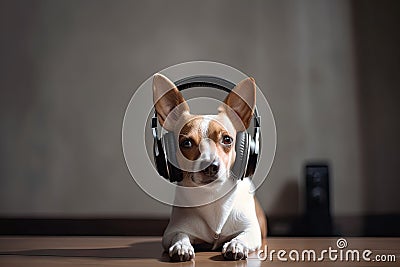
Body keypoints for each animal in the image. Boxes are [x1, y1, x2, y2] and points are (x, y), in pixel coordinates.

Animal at [152, 74, 268, 262]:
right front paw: (182, 246)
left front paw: (237, 244)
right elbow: (179, 235)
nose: (211, 166)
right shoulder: (172, 231)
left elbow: (242, 236)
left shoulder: (251, 230)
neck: (213, 196)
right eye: (186, 143)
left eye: (227, 140)